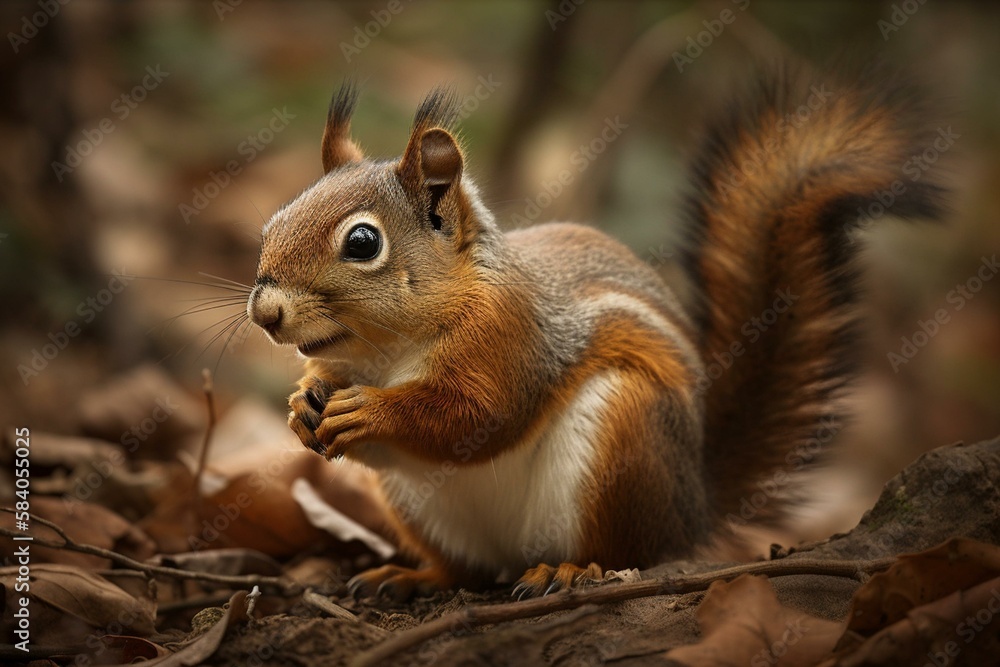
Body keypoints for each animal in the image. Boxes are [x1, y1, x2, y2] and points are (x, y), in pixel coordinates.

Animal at [246, 67, 945, 600]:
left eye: (363, 243)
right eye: (273, 221)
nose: (265, 313)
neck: (387, 351)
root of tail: (693, 505)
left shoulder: (512, 337)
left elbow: (478, 416)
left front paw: (371, 413)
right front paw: (303, 405)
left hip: (623, 437)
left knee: (624, 553)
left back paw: (569, 568)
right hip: (419, 507)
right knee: (464, 570)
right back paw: (413, 577)